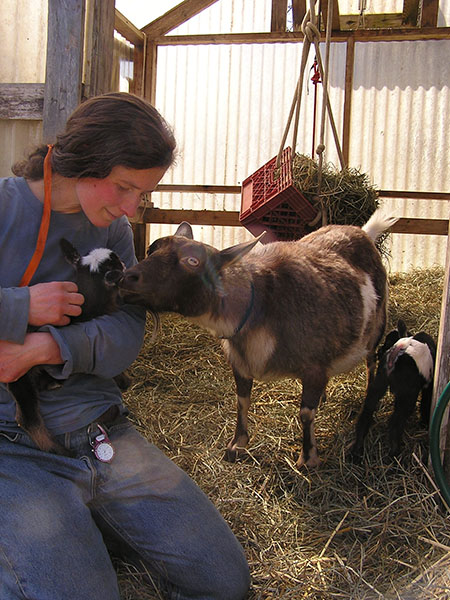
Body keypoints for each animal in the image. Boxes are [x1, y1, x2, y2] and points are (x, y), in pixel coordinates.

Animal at [119, 211, 398, 468]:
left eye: (192, 260)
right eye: (151, 249)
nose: (126, 278)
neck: (260, 307)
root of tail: (361, 231)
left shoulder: (314, 366)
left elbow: (306, 413)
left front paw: (308, 458)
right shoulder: (240, 363)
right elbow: (242, 401)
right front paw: (236, 446)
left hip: (376, 330)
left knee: (371, 363)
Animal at [352, 322, 436, 458]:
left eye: (387, 341)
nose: (379, 352)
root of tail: (395, 354)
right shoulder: (427, 385)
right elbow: (425, 403)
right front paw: (424, 423)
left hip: (378, 383)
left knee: (366, 412)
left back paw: (356, 450)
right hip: (408, 394)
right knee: (396, 422)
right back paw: (395, 453)